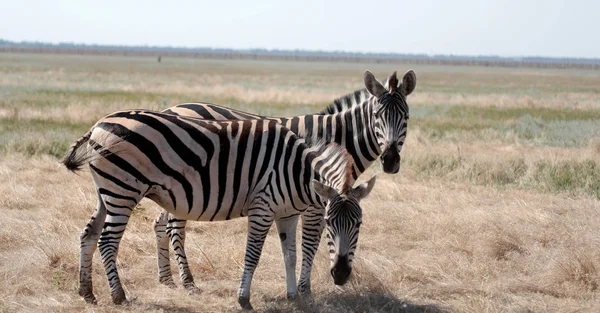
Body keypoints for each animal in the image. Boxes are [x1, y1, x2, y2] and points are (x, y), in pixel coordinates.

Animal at [61, 109, 376, 310]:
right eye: (329, 222)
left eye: (359, 225)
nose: (341, 276)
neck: (296, 170)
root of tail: (98, 124)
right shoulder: (262, 208)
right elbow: (253, 255)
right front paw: (244, 299)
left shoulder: (287, 214)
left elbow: (290, 255)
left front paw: (292, 296)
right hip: (123, 191)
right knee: (107, 242)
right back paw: (119, 297)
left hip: (107, 192)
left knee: (88, 235)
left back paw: (87, 293)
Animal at [156, 69, 418, 294]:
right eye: (377, 116)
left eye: (406, 117)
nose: (390, 160)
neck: (337, 138)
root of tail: (171, 108)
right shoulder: (315, 203)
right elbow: (310, 244)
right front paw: (304, 290)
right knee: (175, 229)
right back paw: (188, 282)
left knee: (160, 223)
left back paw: (167, 279)